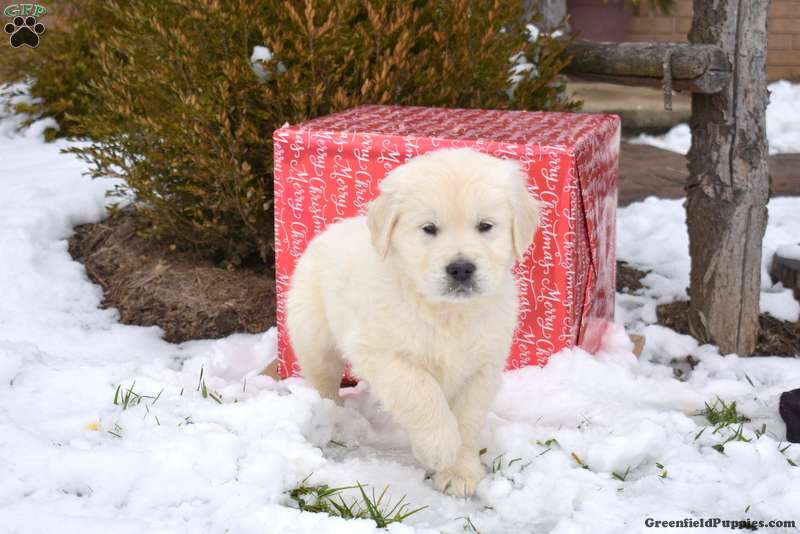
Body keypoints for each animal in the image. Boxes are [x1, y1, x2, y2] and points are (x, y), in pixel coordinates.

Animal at [285, 148, 540, 497]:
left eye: (485, 226)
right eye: (429, 228)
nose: (461, 269)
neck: (447, 312)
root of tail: (329, 230)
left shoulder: (482, 367)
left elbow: (468, 417)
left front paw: (459, 470)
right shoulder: (381, 352)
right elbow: (420, 391)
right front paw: (440, 446)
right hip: (313, 334)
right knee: (323, 379)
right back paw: (329, 416)